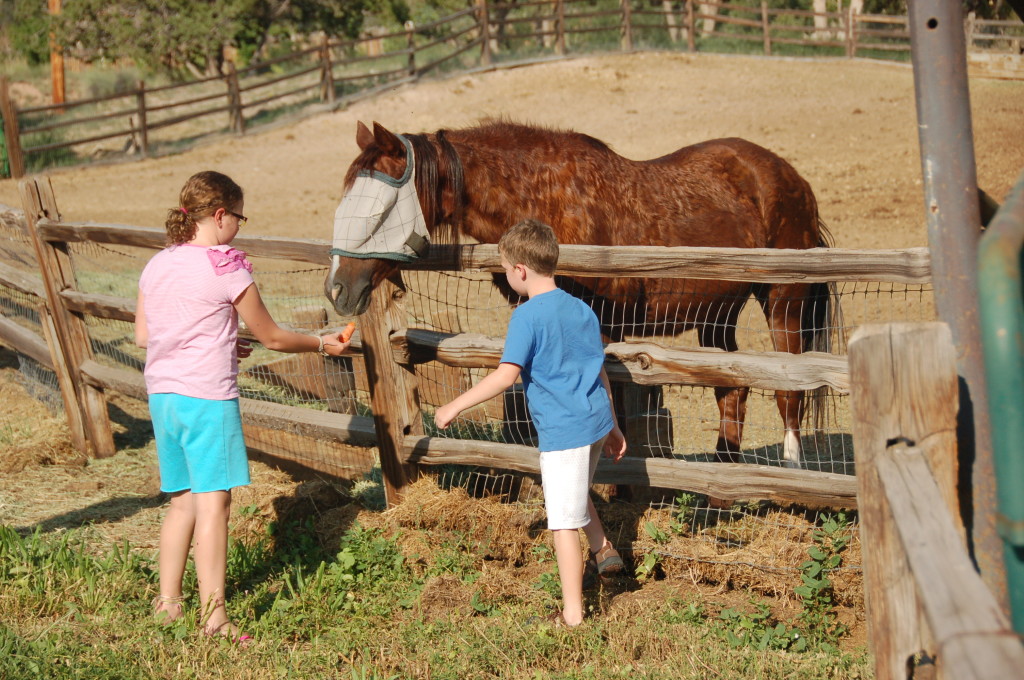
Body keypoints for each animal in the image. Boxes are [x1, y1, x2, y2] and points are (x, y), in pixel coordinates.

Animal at [323, 120, 835, 466]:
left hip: (783, 303)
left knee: (789, 391)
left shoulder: (604, 329)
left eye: (379, 207)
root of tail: (790, 176)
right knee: (734, 390)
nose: (338, 288)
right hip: (716, 314)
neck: (544, 199)